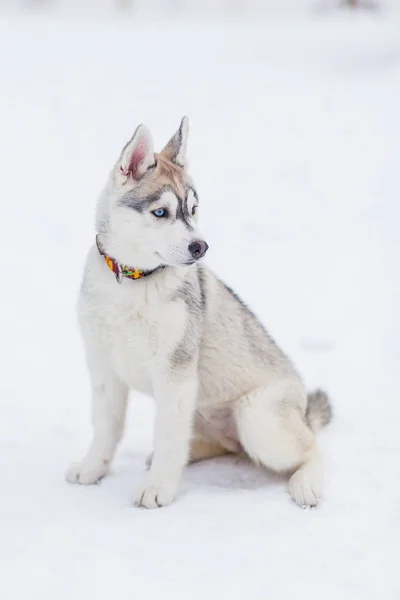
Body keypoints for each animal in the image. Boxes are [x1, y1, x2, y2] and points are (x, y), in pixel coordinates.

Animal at [66, 116, 332, 506]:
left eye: (192, 211)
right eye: (161, 212)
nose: (201, 247)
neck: (133, 282)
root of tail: (302, 410)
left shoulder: (174, 374)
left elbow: (167, 438)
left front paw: (158, 490)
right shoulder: (103, 367)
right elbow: (106, 426)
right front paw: (92, 469)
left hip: (257, 418)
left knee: (312, 448)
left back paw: (306, 484)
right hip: (206, 410)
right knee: (214, 443)